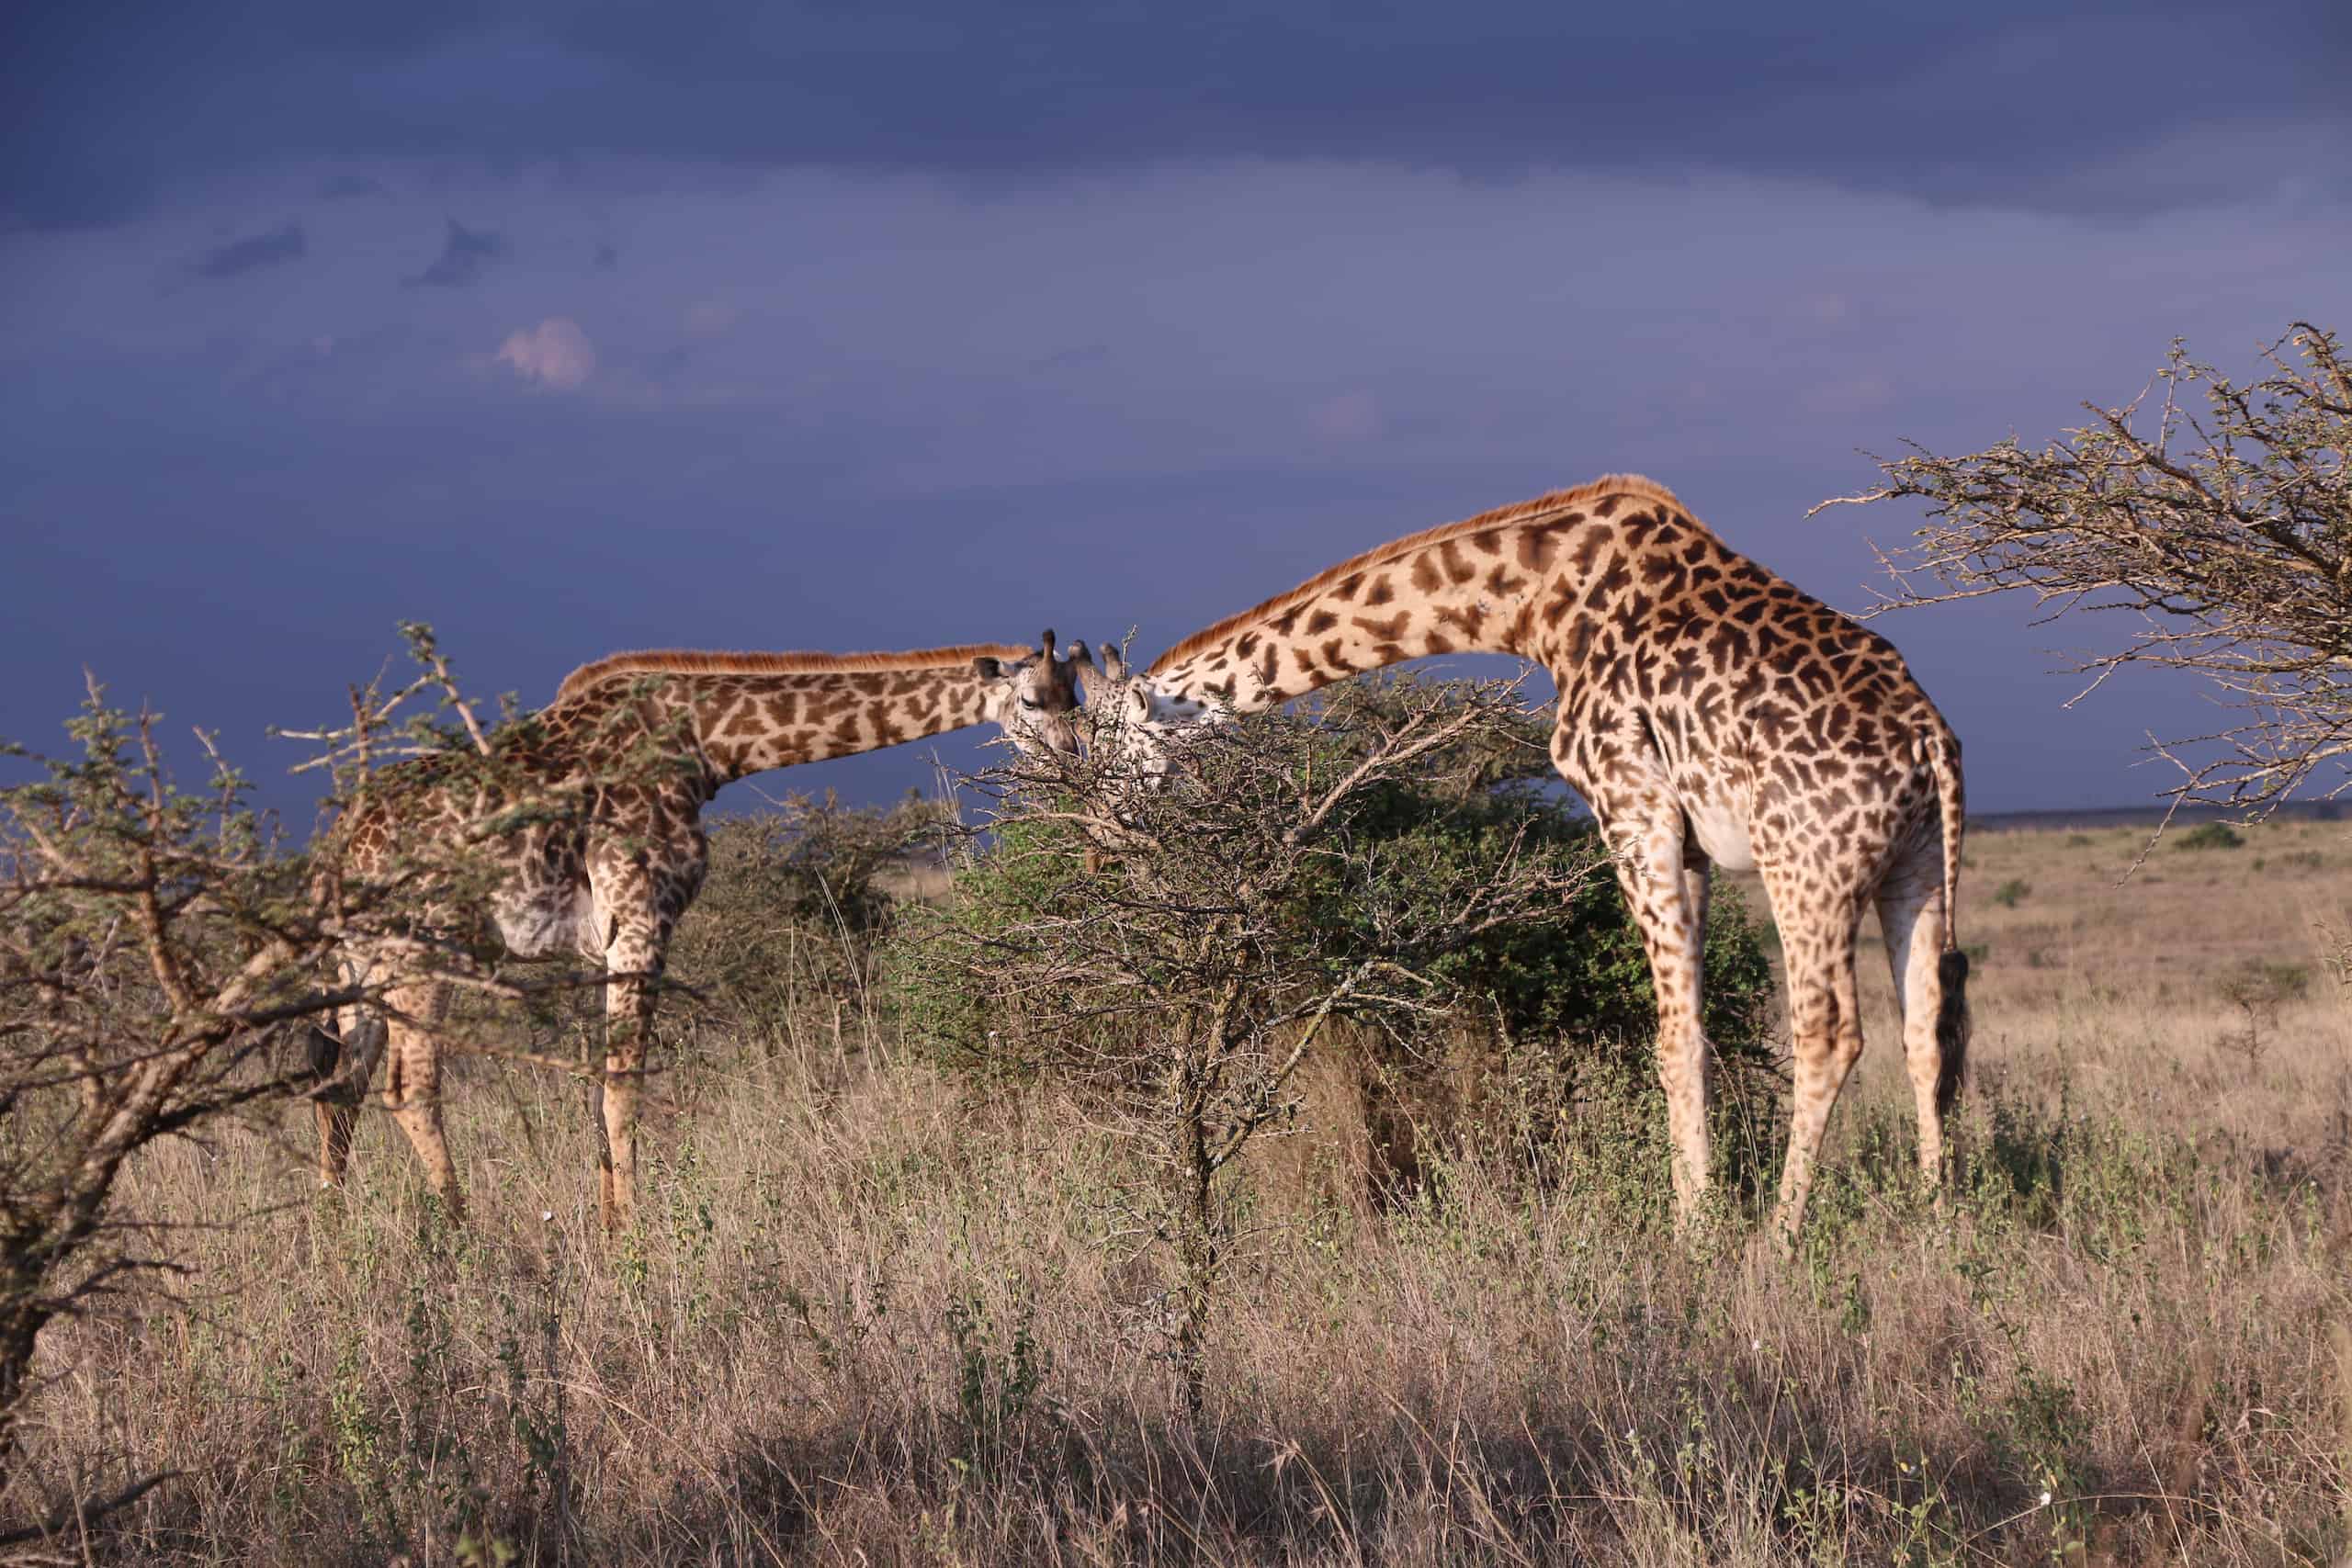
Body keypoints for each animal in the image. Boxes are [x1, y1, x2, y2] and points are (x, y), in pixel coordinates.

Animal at [305, 629, 1091, 1232]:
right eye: (1029, 700)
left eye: (1076, 699)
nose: (1074, 763)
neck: (705, 743)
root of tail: (338, 846)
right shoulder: (641, 918)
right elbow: (624, 1084)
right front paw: (633, 1244)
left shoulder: (610, 938)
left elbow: (602, 1088)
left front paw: (608, 1226)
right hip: (421, 948)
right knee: (409, 1087)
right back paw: (464, 1239)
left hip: (358, 964)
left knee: (339, 1089)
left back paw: (333, 1239)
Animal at [1095, 481, 1966, 1250]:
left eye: (1109, 757)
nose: (1104, 843)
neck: (1537, 603)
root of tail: (1930, 742)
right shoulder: (1685, 840)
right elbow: (1692, 1030)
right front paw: (1701, 1215)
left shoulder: (1633, 805)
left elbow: (1672, 1038)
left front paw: (1694, 1237)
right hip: (1914, 865)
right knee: (1927, 1028)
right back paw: (1941, 1228)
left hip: (1805, 863)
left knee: (1830, 1031)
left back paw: (1779, 1245)